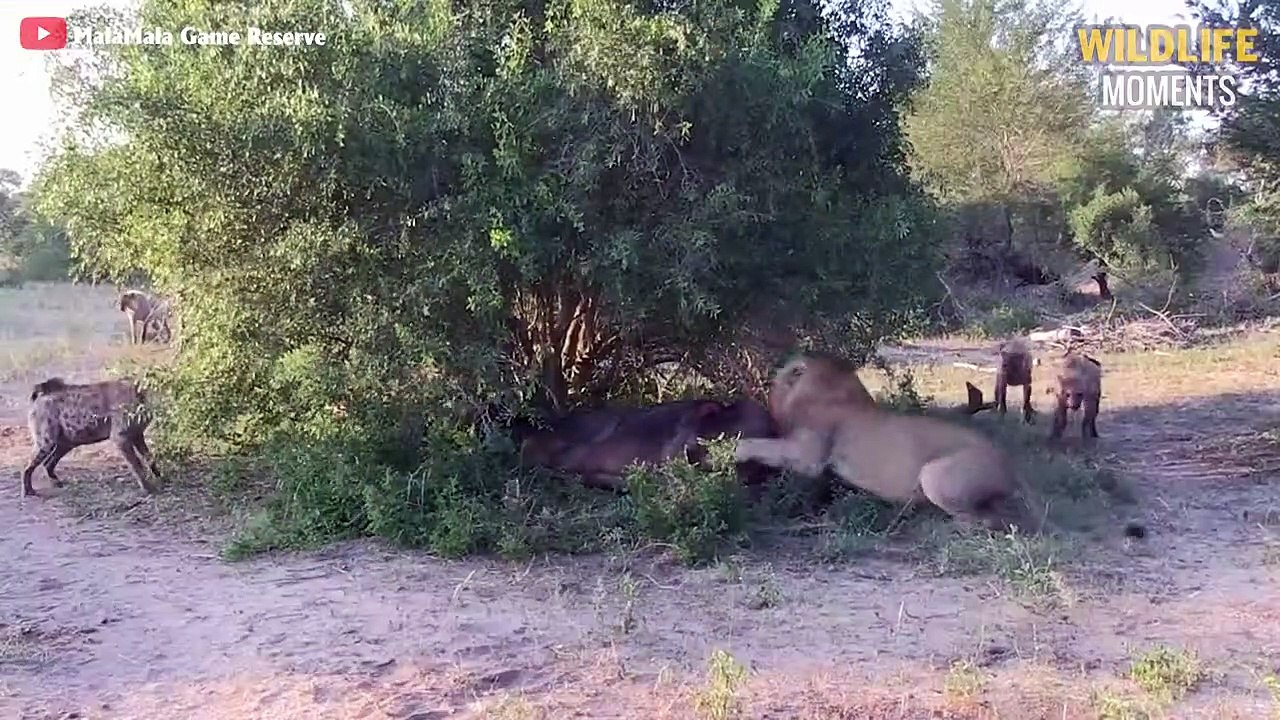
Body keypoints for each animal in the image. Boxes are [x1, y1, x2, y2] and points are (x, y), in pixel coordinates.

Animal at [22, 377, 162, 497]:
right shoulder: (120, 437)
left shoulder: (137, 434)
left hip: (67, 442)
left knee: (48, 462)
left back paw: (56, 482)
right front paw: (148, 488)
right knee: (29, 465)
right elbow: (136, 464)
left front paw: (160, 477)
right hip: (46, 440)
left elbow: (149, 457)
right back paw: (29, 491)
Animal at [733, 352, 1040, 532]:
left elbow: (760, 444)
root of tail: (1011, 468)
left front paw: (735, 450)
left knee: (987, 521)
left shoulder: (809, 455)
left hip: (934, 476)